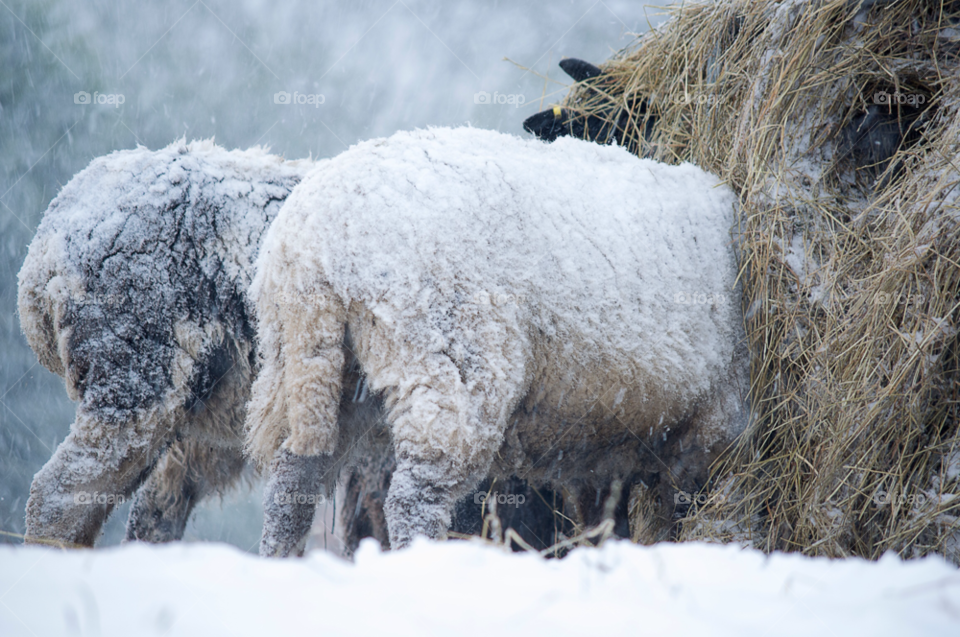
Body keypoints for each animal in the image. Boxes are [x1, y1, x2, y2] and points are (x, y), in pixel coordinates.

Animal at [246, 124, 752, 552]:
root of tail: (315, 240)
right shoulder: (711, 426)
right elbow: (675, 513)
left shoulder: (600, 444)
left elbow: (607, 524)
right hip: (452, 361)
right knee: (415, 497)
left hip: (307, 364)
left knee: (292, 483)